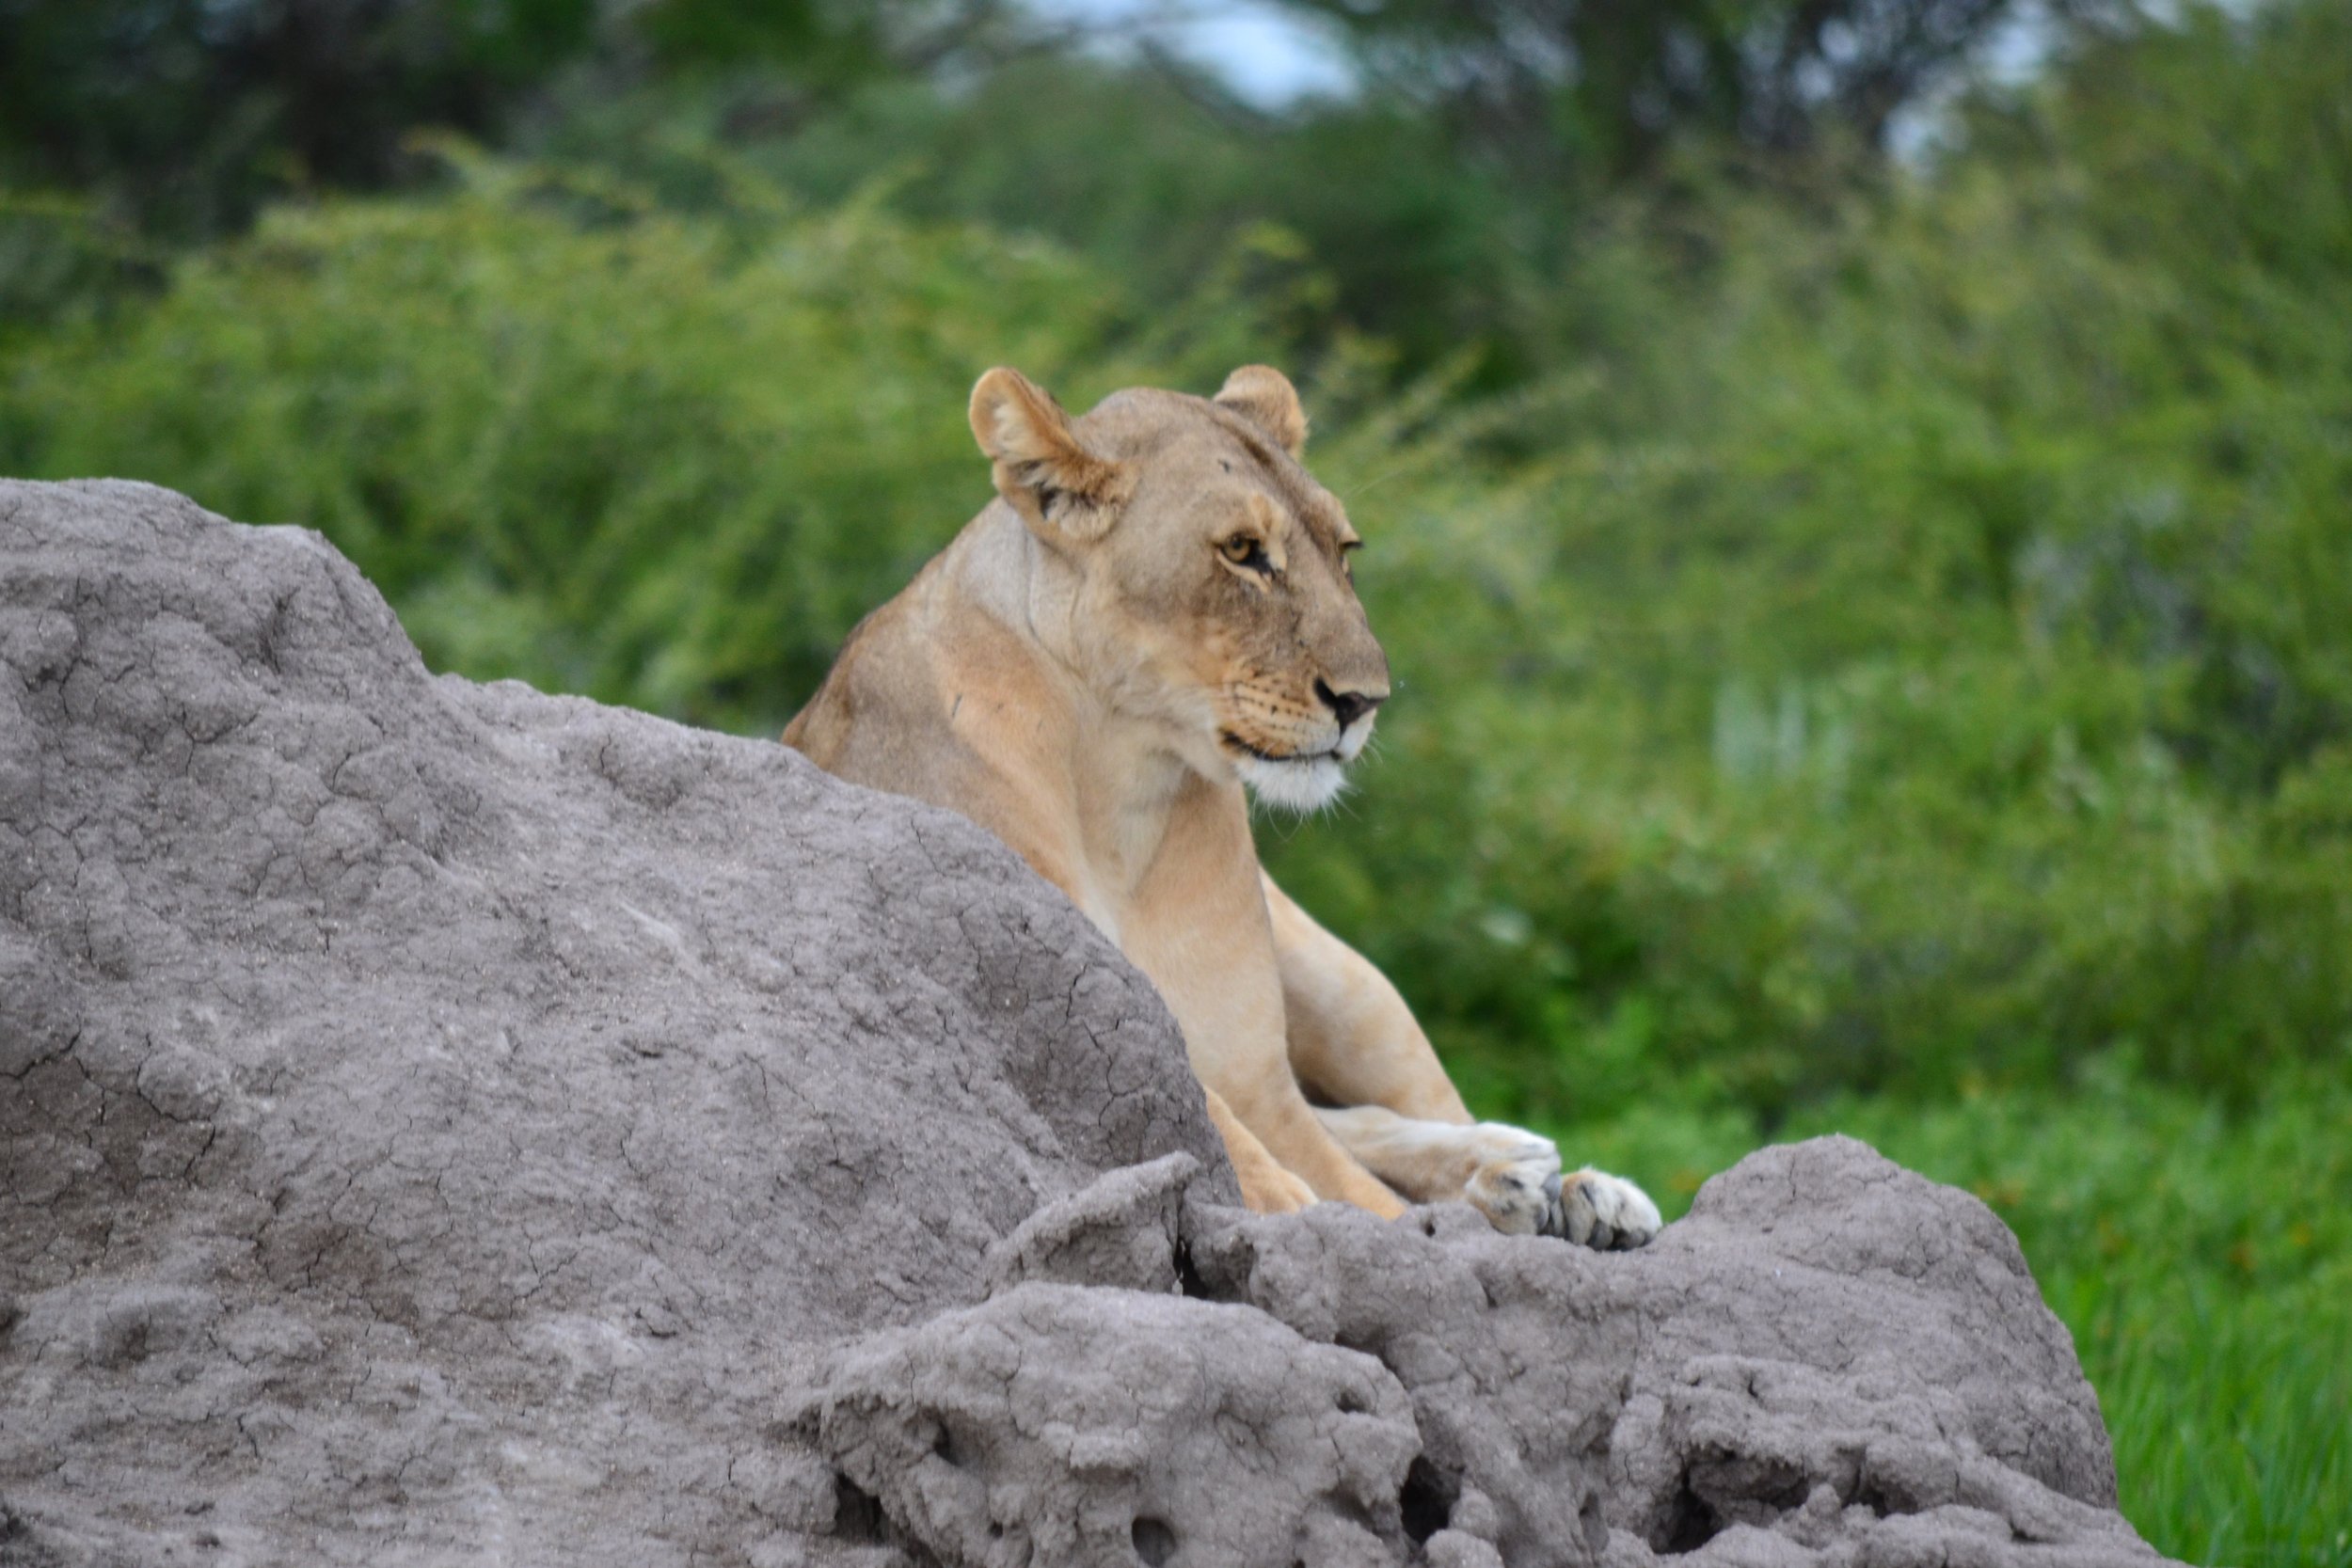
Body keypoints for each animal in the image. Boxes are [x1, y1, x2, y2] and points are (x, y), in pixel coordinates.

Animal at [783, 364, 1661, 1247]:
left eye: (1343, 551)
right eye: (1243, 552)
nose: (1364, 700)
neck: (1124, 788)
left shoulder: (1257, 1077)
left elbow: (1341, 1174)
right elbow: (1248, 1149)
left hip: (1352, 989)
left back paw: (1570, 1186)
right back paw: (1517, 1179)